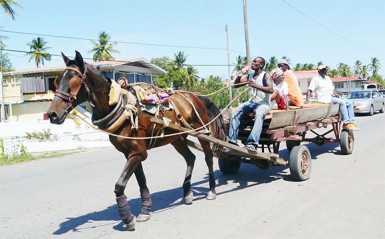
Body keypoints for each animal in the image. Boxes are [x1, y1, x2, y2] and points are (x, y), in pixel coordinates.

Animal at [45, 51, 225, 231]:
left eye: (73, 82)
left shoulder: (138, 152)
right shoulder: (131, 153)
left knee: (208, 158)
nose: (52, 114)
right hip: (176, 138)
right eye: (56, 81)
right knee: (190, 158)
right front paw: (145, 210)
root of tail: (195, 96)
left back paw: (212, 190)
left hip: (202, 132)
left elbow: (119, 185)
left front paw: (127, 218)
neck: (121, 107)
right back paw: (187, 192)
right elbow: (141, 181)